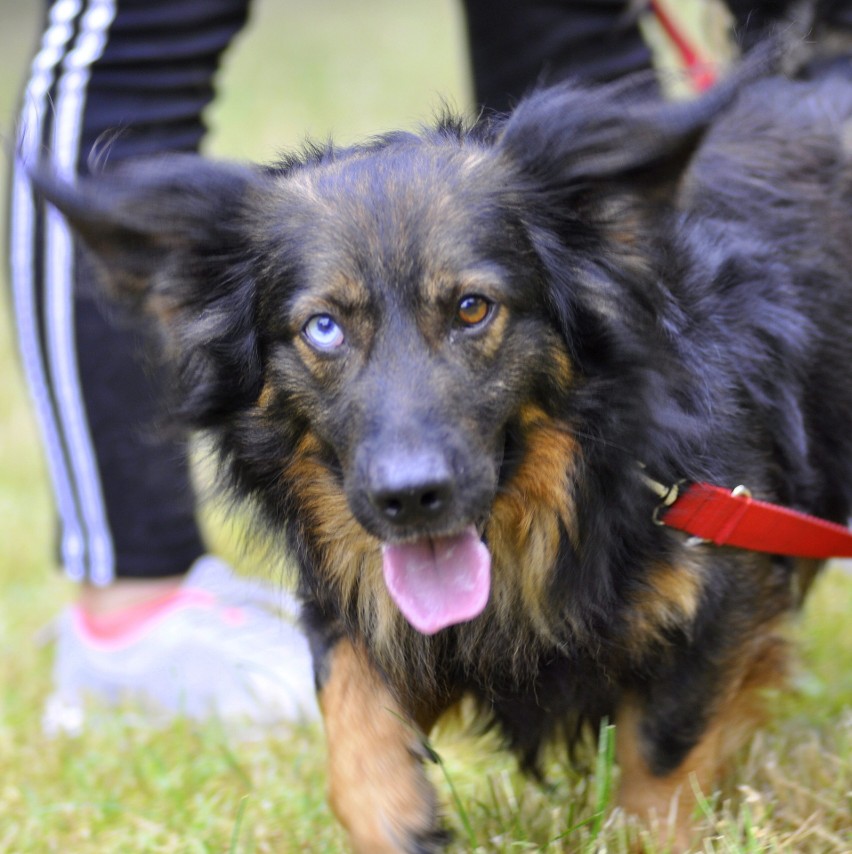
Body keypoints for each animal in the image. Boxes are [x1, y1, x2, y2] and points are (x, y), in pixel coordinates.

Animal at [36, 48, 852, 854]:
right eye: (323, 328)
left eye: (472, 308)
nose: (410, 498)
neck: (565, 506)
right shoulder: (359, 597)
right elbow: (351, 714)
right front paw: (399, 821)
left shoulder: (723, 590)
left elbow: (660, 766)